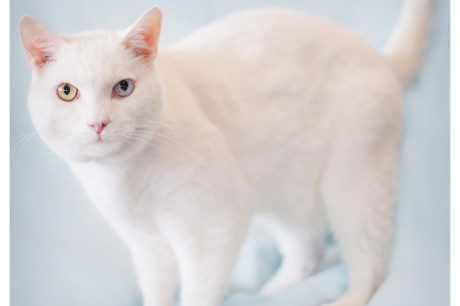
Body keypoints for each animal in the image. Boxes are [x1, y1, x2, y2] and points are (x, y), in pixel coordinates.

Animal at [19, 1, 434, 304]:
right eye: (67, 91)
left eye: (123, 87)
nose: (98, 123)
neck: (124, 179)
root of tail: (378, 57)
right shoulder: (147, 246)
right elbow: (157, 293)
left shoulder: (210, 232)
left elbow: (198, 292)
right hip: (289, 193)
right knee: (307, 255)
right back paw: (266, 295)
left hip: (354, 184)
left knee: (370, 265)